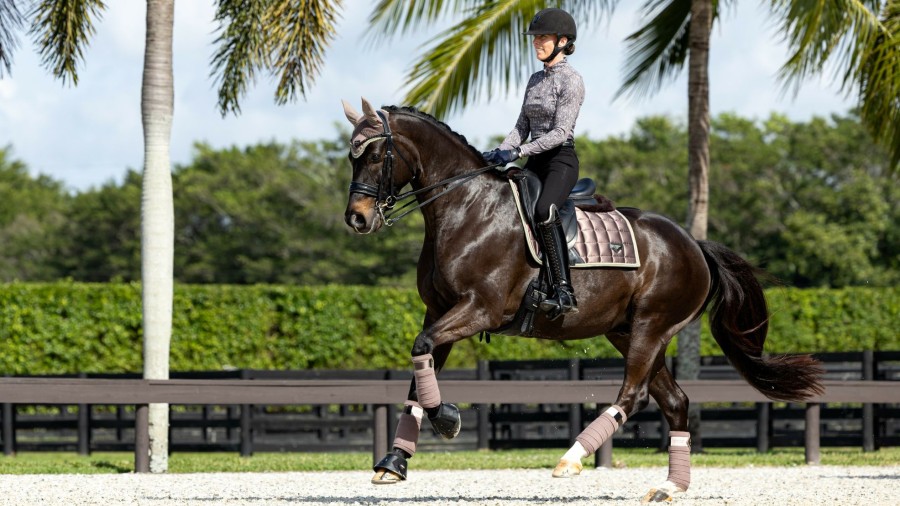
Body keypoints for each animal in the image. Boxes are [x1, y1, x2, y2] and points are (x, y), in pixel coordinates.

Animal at [340, 98, 824, 502]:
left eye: (376, 155)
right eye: (352, 156)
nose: (357, 219)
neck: (467, 208)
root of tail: (693, 244)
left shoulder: (479, 310)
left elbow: (422, 352)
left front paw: (448, 420)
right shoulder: (439, 311)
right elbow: (418, 370)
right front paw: (394, 462)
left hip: (651, 328)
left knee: (634, 394)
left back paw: (571, 459)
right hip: (627, 332)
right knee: (675, 402)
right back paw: (669, 486)